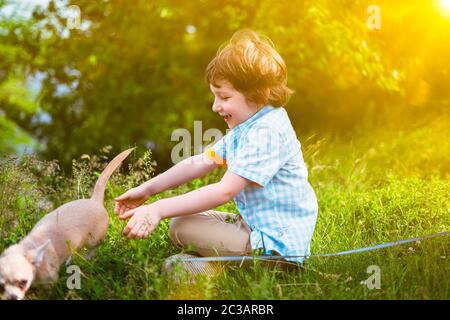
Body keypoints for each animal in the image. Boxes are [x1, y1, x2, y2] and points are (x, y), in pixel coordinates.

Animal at [0, 148, 134, 300]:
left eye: (22, 282)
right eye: (1, 286)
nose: (12, 297)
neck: (29, 249)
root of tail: (94, 200)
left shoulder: (49, 282)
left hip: (93, 239)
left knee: (95, 246)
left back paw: (87, 257)